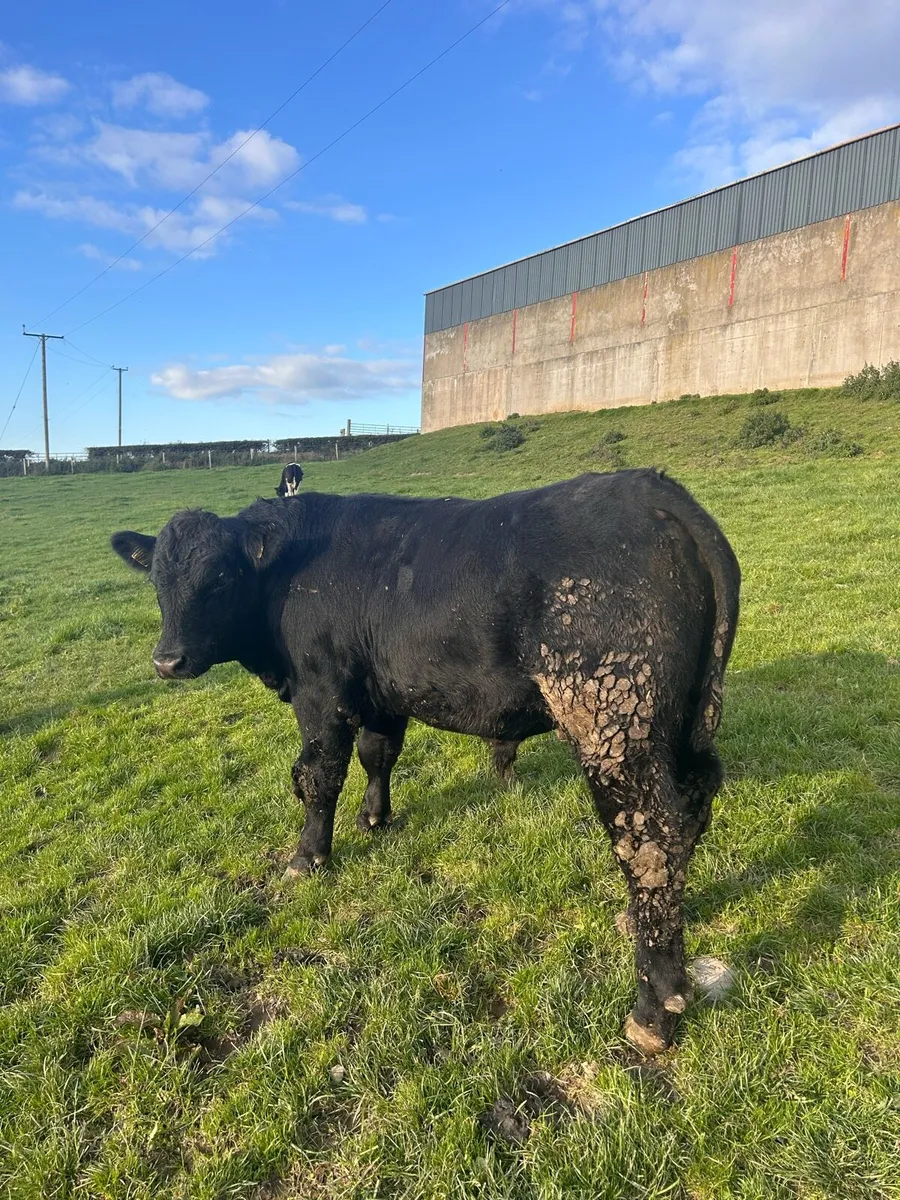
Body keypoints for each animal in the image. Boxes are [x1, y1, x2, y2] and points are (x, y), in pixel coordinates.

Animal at [111, 468, 740, 1055]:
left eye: (219, 577)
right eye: (159, 581)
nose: (167, 661)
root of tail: (651, 489)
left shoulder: (322, 691)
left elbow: (318, 775)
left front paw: (308, 856)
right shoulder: (381, 694)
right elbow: (377, 755)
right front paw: (375, 817)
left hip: (614, 725)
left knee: (648, 842)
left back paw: (653, 1008)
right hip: (687, 720)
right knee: (690, 809)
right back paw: (639, 925)